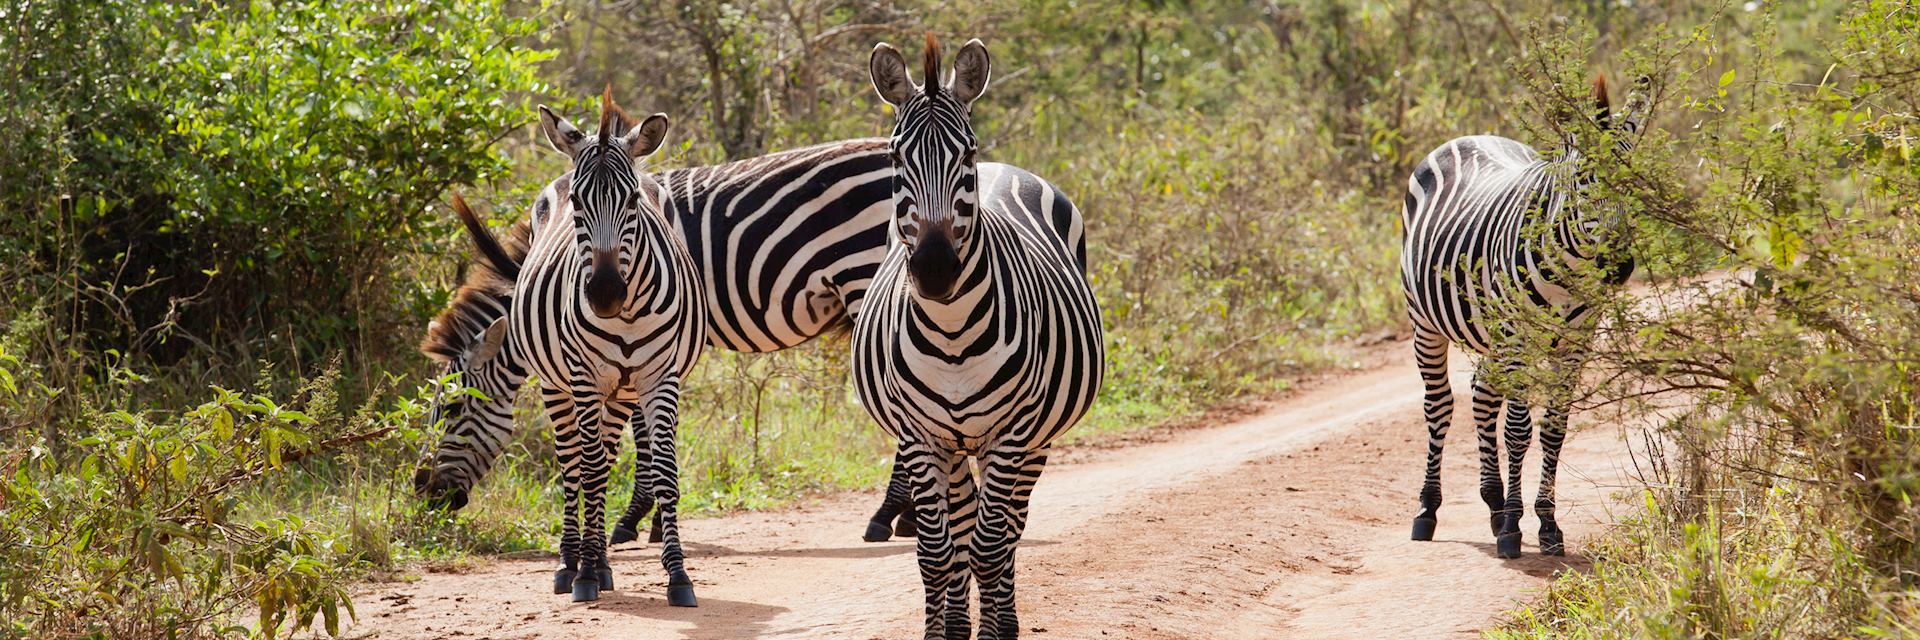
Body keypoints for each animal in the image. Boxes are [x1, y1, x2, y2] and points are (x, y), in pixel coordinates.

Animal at [860, 36, 1113, 638]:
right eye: (894, 158)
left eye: (967, 155)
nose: (934, 271)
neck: (952, 334)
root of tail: (1009, 169)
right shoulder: (919, 436)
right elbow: (937, 552)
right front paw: (943, 633)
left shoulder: (1013, 433)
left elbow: (991, 546)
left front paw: (996, 631)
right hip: (955, 444)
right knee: (960, 530)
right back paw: (958, 621)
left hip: (1035, 438)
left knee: (1010, 528)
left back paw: (1006, 619)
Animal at [1397, 74, 1651, 557]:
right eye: (1584, 182)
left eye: (1629, 181)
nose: (1620, 267)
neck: (1571, 266)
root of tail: (1469, 136)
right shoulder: (1518, 336)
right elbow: (1518, 429)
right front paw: (1515, 526)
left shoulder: (1576, 343)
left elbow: (1553, 429)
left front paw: (1546, 524)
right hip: (1426, 323)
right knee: (1440, 405)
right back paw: (1427, 510)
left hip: (1492, 334)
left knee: (1482, 395)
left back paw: (1493, 503)